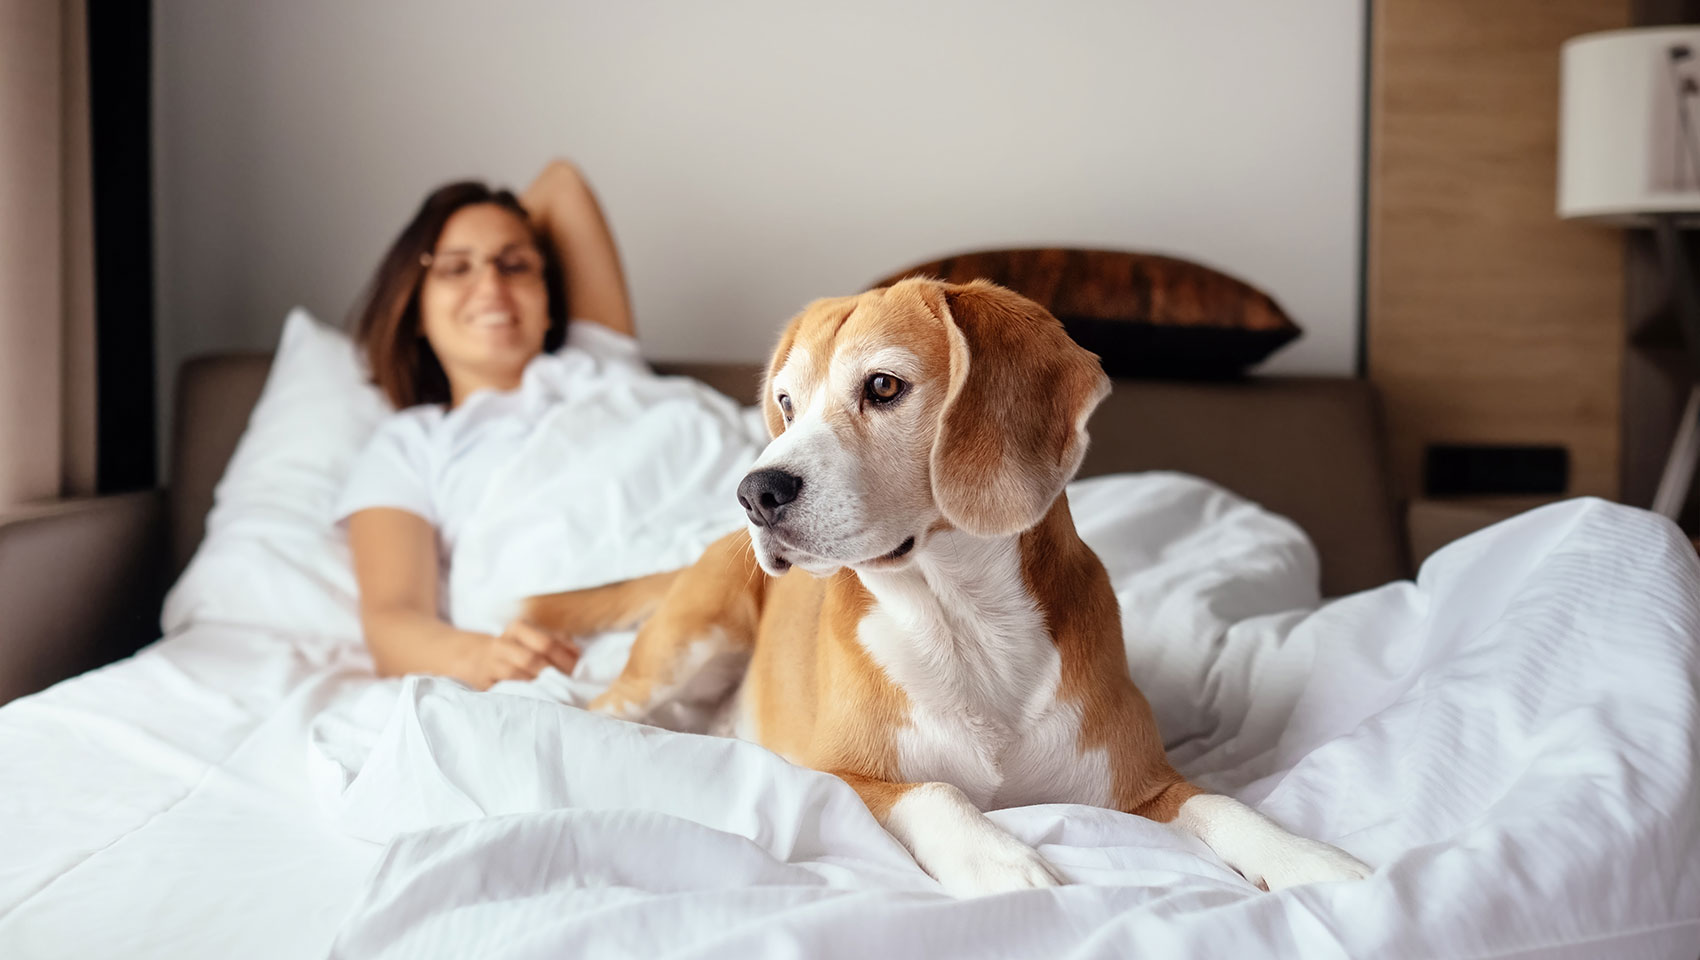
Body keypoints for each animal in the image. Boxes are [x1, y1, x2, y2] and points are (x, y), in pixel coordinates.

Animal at [523, 278, 1373, 897]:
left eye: (883, 387)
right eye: (787, 404)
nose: (754, 493)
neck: (962, 619)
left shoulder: (1144, 786)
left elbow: (1225, 803)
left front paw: (1308, 858)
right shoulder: (838, 775)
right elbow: (935, 792)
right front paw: (998, 860)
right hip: (686, 647)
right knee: (600, 707)